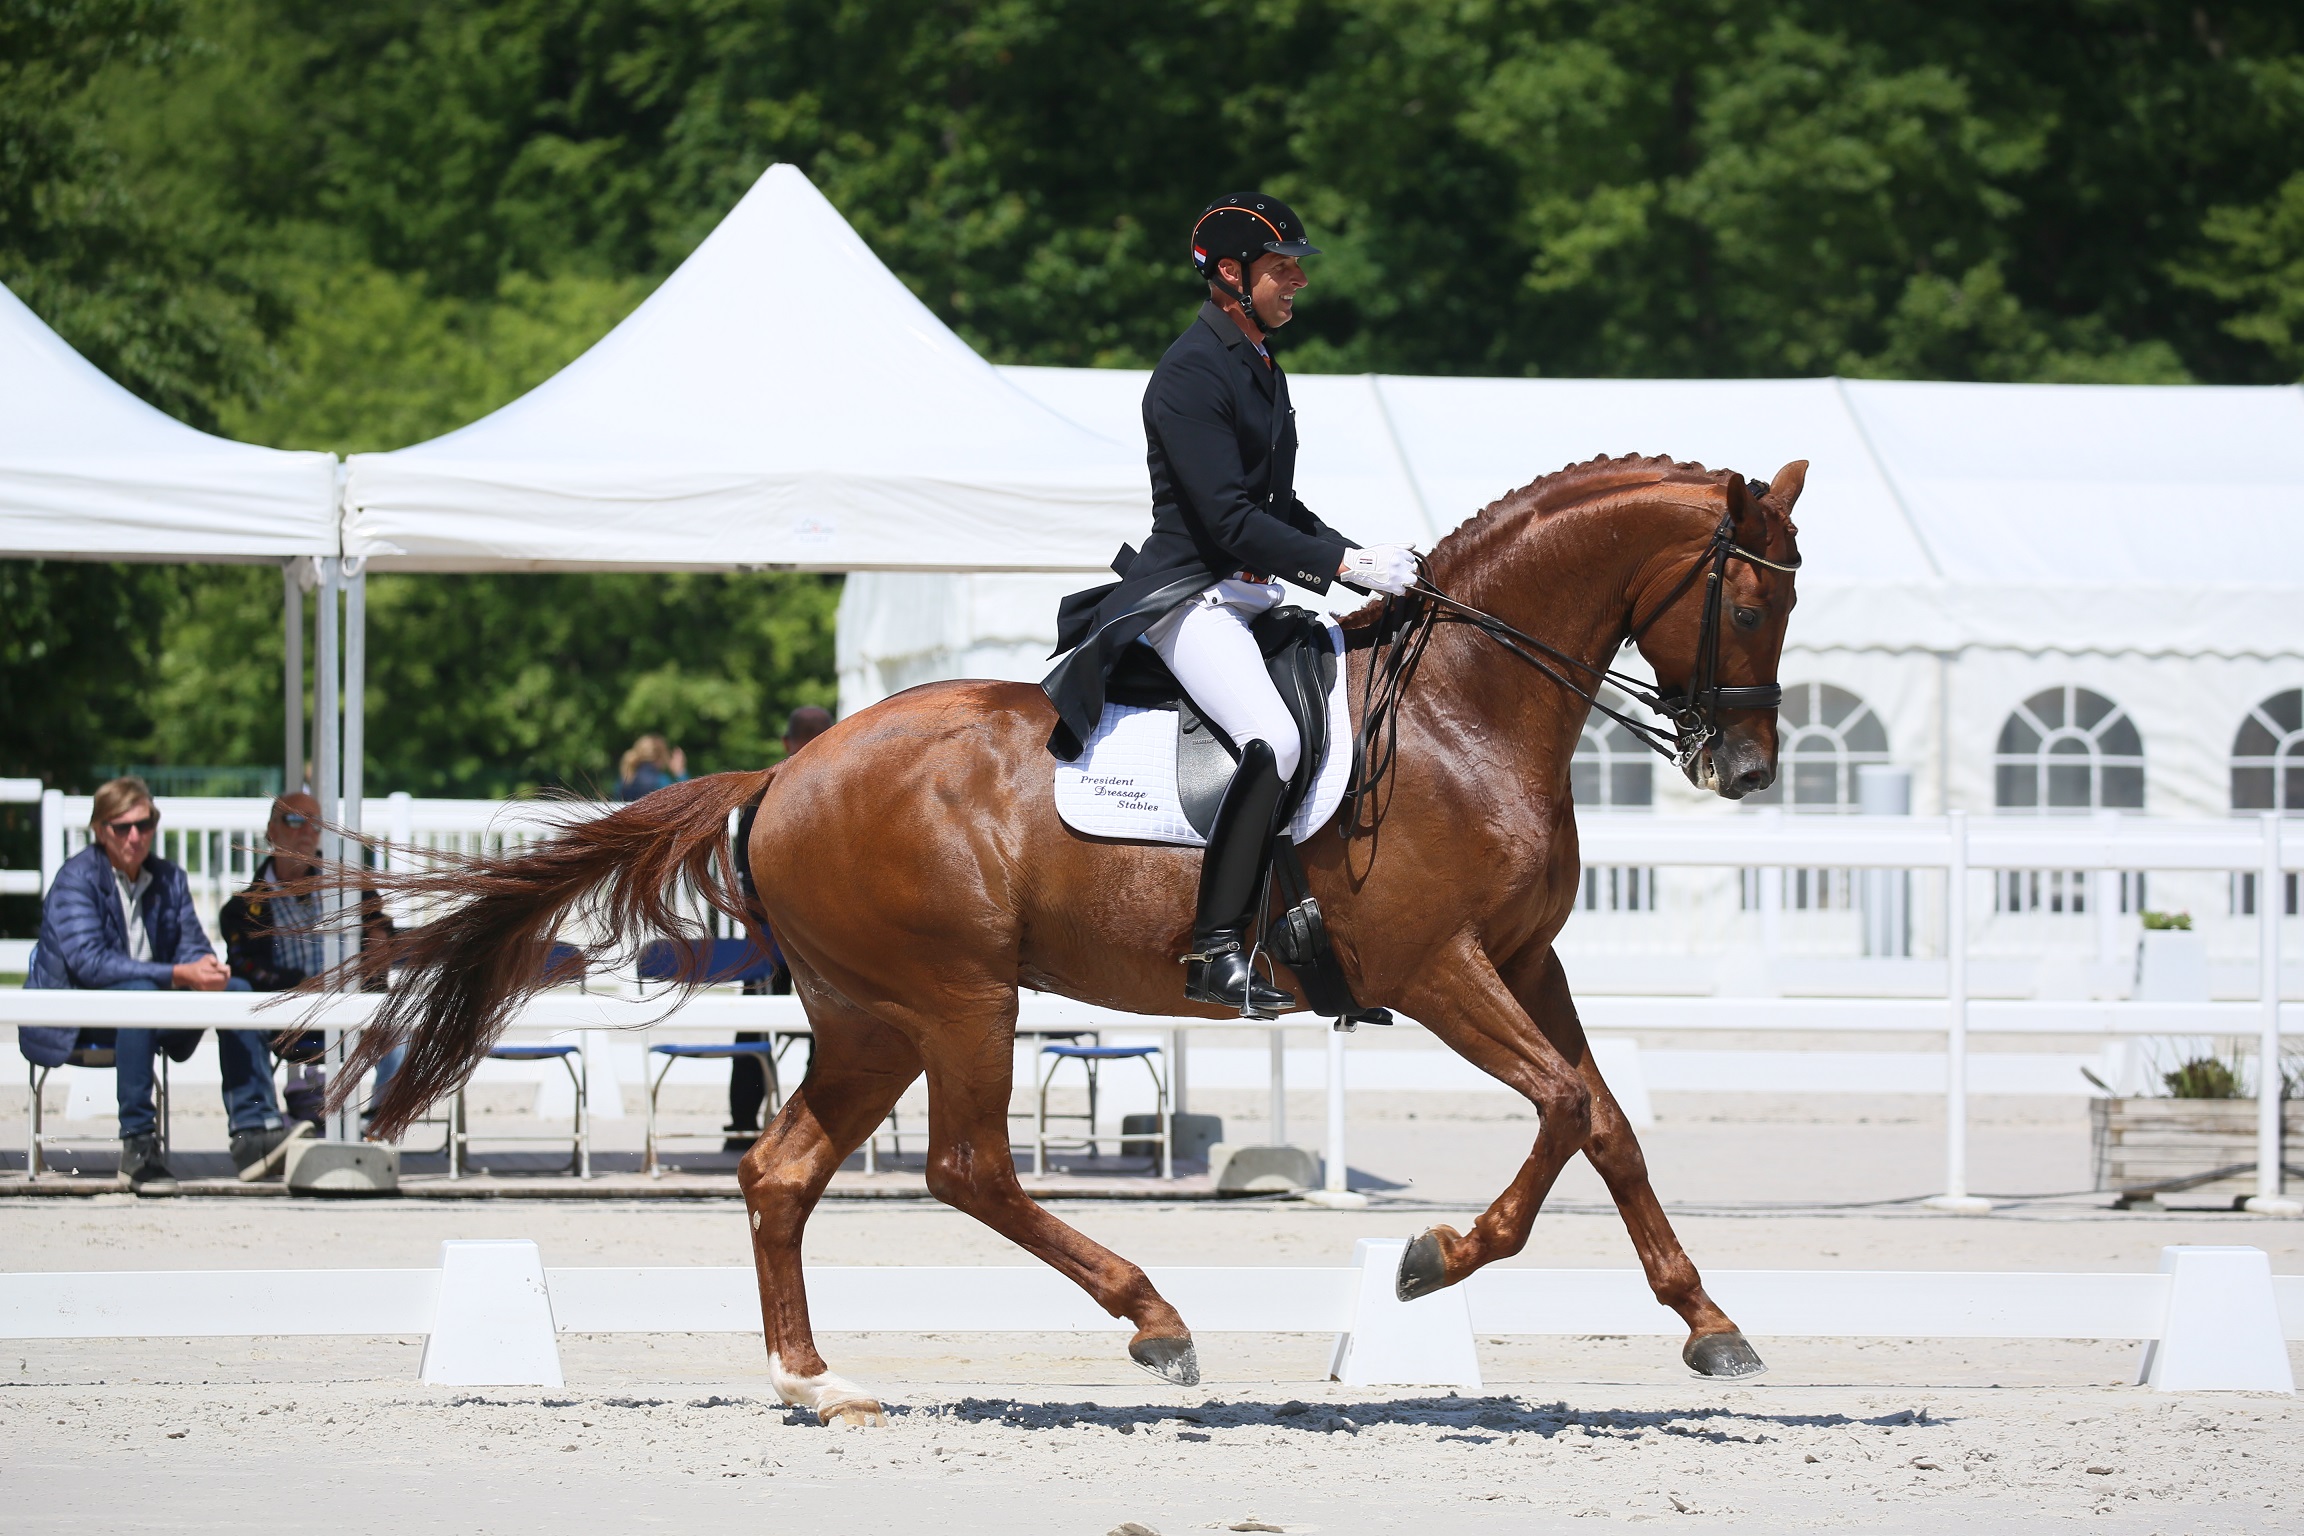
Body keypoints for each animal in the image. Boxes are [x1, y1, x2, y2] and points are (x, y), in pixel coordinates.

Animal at [350, 451, 1806, 1427]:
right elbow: (1561, 1104)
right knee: (968, 1169)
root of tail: (786, 772)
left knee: (783, 1171)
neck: (1459, 712)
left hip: (873, 1017)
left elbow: (1607, 1122)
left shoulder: (1523, 962)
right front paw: (1428, 1261)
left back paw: (818, 1383)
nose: (1743, 770)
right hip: (960, 999)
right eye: (1748, 603)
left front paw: (1713, 1327)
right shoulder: (1436, 969)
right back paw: (1154, 1325)